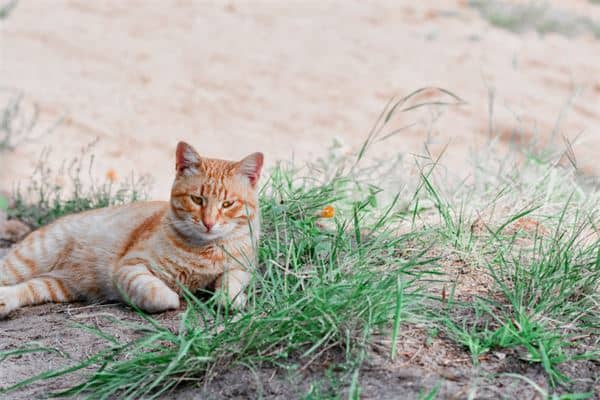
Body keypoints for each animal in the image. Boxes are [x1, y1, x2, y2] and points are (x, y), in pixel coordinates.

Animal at [0, 142, 262, 318]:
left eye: (227, 204)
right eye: (197, 199)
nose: (209, 223)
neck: (205, 250)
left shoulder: (242, 267)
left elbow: (232, 283)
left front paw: (230, 299)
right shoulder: (130, 267)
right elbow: (159, 294)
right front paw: (175, 295)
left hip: (56, 285)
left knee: (26, 288)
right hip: (27, 261)